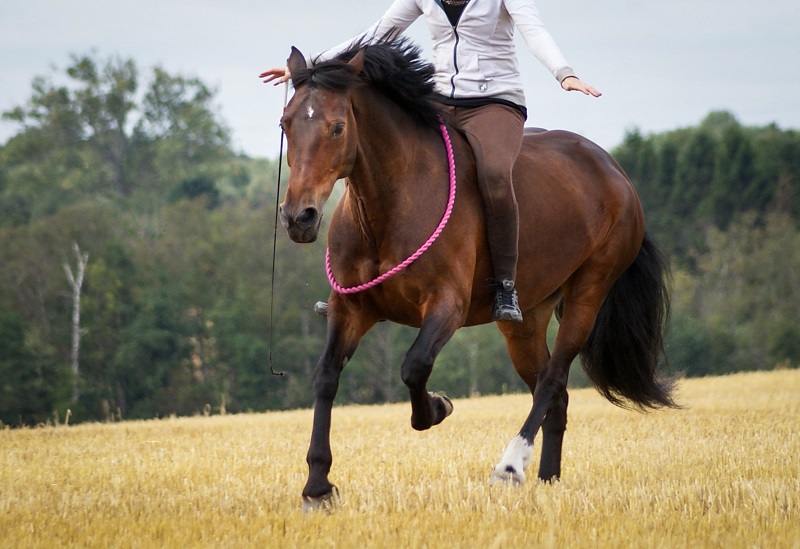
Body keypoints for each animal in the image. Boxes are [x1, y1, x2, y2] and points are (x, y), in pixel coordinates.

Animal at [277, 38, 677, 510]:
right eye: (285, 124)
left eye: (338, 128)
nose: (299, 217)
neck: (389, 204)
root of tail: (614, 170)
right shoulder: (350, 308)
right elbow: (325, 377)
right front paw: (317, 485)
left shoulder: (446, 307)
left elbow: (414, 366)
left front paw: (436, 408)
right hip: (525, 322)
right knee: (554, 394)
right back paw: (547, 479)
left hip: (589, 293)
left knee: (553, 379)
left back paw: (510, 466)